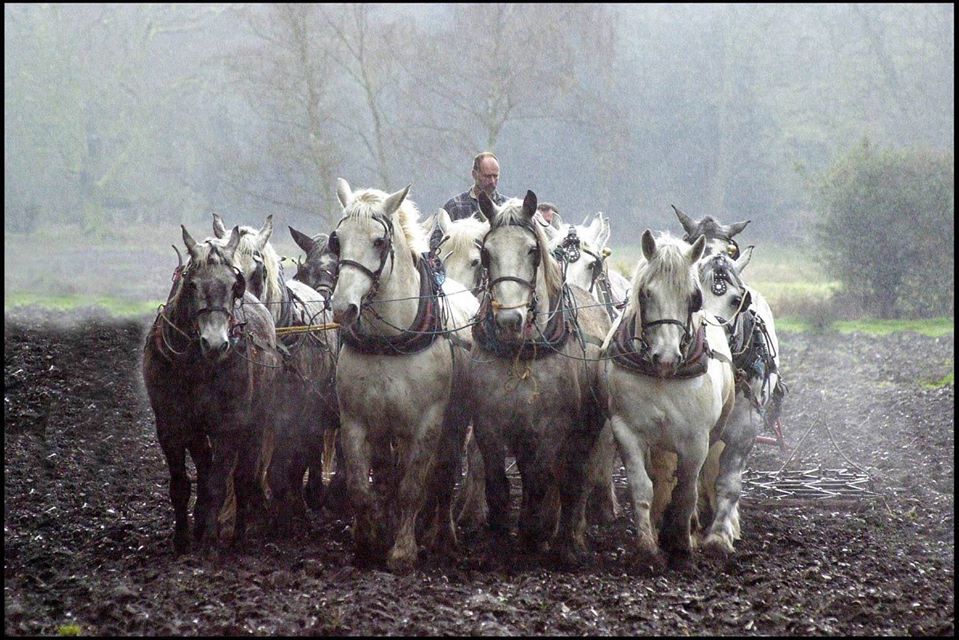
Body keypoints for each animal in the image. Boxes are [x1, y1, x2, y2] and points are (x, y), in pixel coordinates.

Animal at [142, 226, 280, 556]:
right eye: (191, 284)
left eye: (233, 286)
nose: (216, 344)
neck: (196, 365)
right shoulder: (171, 424)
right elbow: (183, 483)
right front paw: (183, 539)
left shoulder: (228, 426)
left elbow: (219, 483)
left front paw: (209, 542)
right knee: (206, 468)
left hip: (256, 423)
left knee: (243, 478)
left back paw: (238, 535)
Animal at [330, 179, 480, 568]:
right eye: (337, 240)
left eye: (379, 241)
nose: (343, 307)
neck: (389, 340)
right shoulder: (356, 419)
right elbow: (362, 484)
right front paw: (368, 538)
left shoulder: (427, 422)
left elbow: (413, 486)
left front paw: (402, 551)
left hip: (455, 423)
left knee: (443, 474)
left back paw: (442, 535)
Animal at [604, 230, 740, 568]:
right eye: (645, 293)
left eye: (694, 297)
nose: (666, 357)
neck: (663, 377)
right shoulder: (626, 430)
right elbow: (643, 487)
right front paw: (647, 546)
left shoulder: (696, 439)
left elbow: (687, 490)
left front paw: (680, 542)